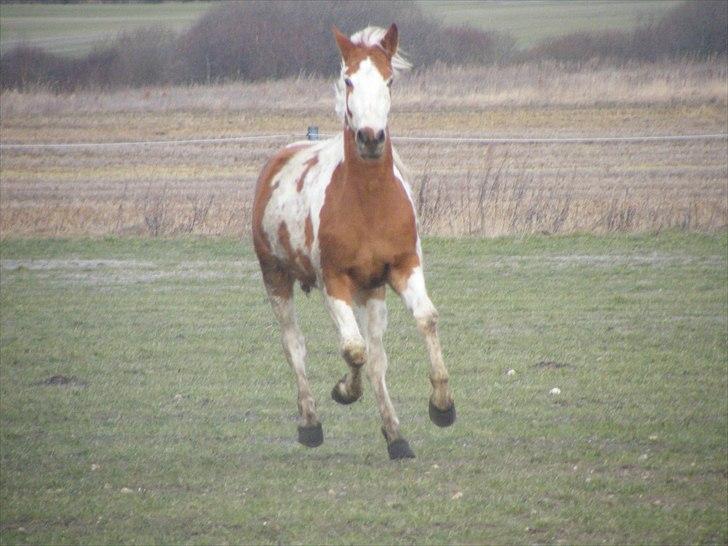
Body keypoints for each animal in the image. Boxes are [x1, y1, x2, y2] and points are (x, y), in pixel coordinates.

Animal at [252, 24, 456, 460]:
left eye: (390, 80)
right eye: (348, 80)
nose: (370, 137)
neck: (368, 203)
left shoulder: (403, 268)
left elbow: (425, 320)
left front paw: (442, 406)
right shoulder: (335, 282)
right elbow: (352, 349)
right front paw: (344, 391)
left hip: (372, 290)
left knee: (377, 356)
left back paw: (396, 437)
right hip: (276, 278)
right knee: (295, 346)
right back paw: (310, 423)